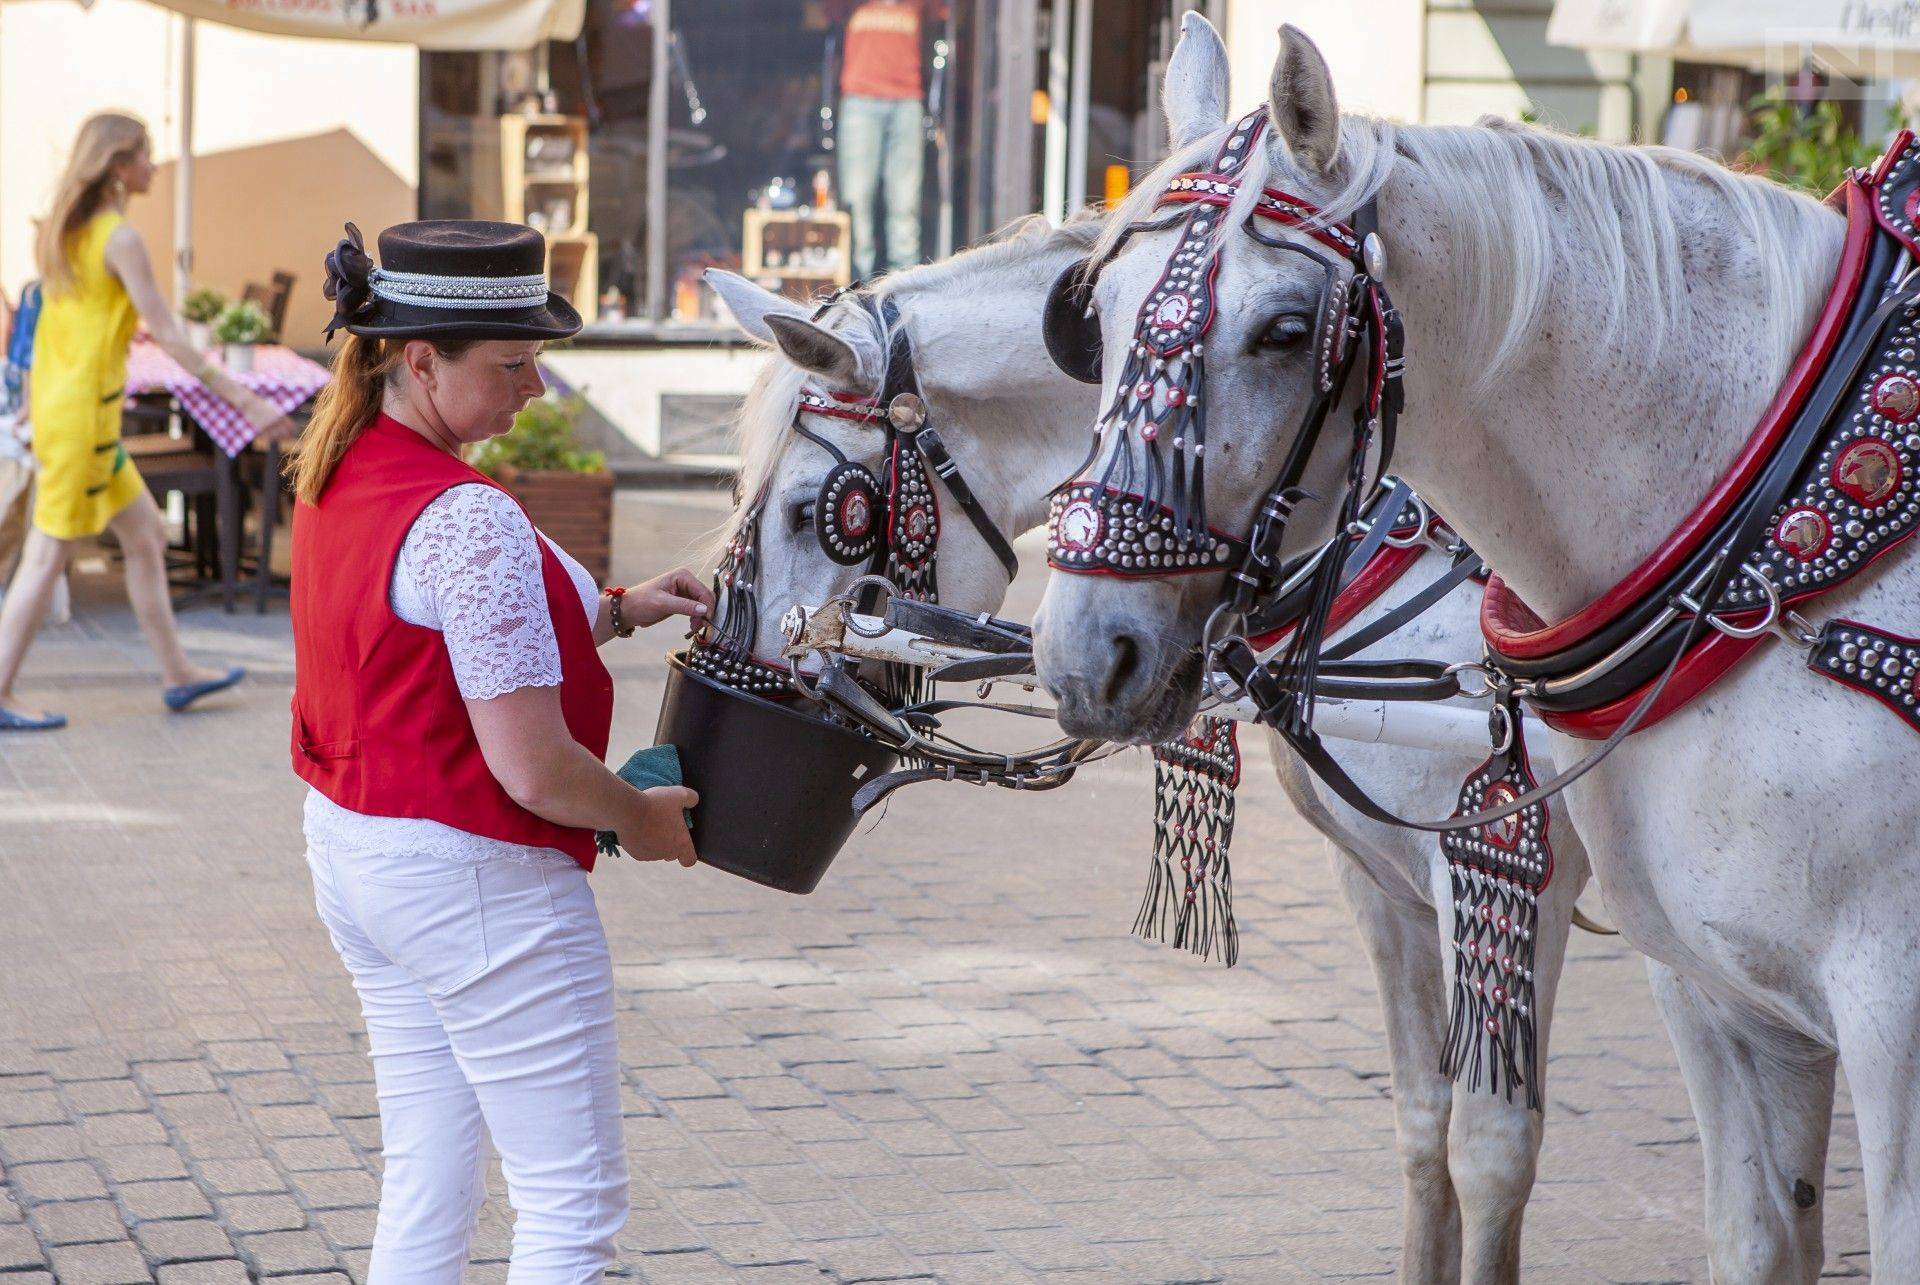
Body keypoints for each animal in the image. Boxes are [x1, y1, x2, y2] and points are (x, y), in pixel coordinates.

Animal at [706, 213, 1589, 1283]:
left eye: (816, 511)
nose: (756, 687)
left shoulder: (1511, 884)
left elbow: (1490, 1155)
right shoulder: (1384, 883)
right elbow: (1425, 1132)